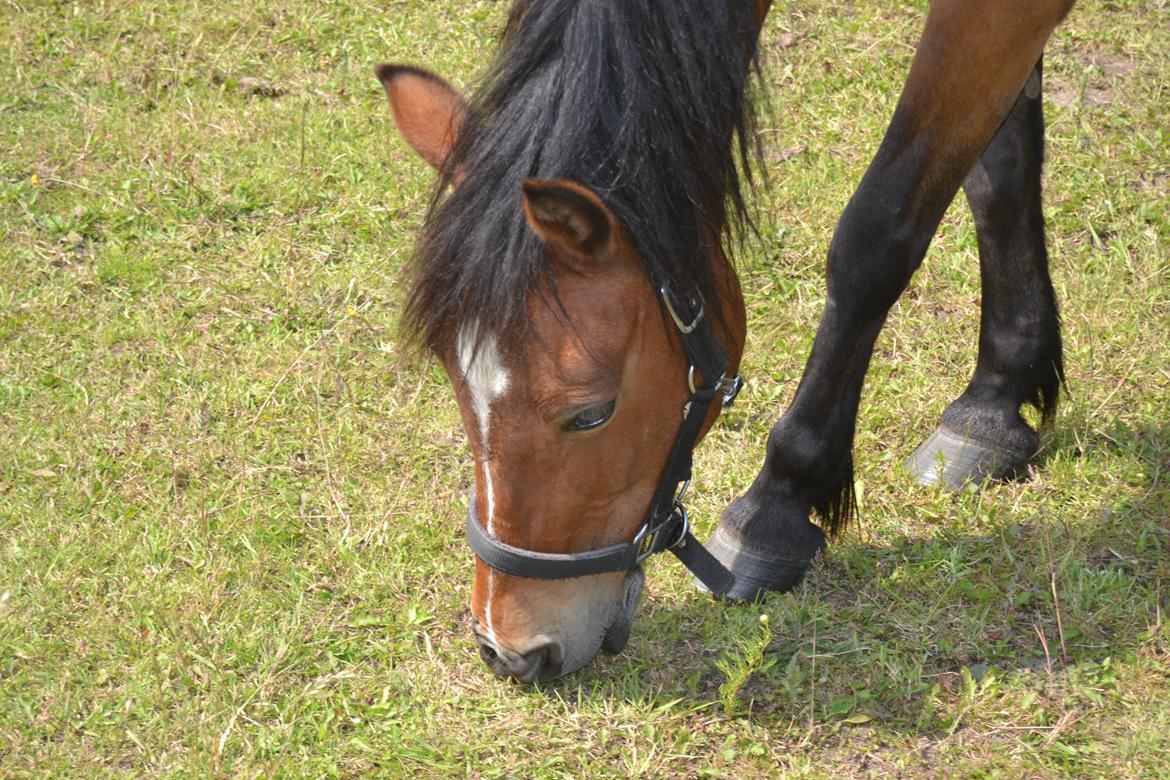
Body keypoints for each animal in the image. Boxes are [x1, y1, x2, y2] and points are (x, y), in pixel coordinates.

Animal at [379, 0, 1071, 682]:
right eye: (456, 383)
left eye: (592, 413)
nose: (508, 649)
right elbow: (999, 167)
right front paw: (994, 399)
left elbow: (876, 237)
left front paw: (779, 502)